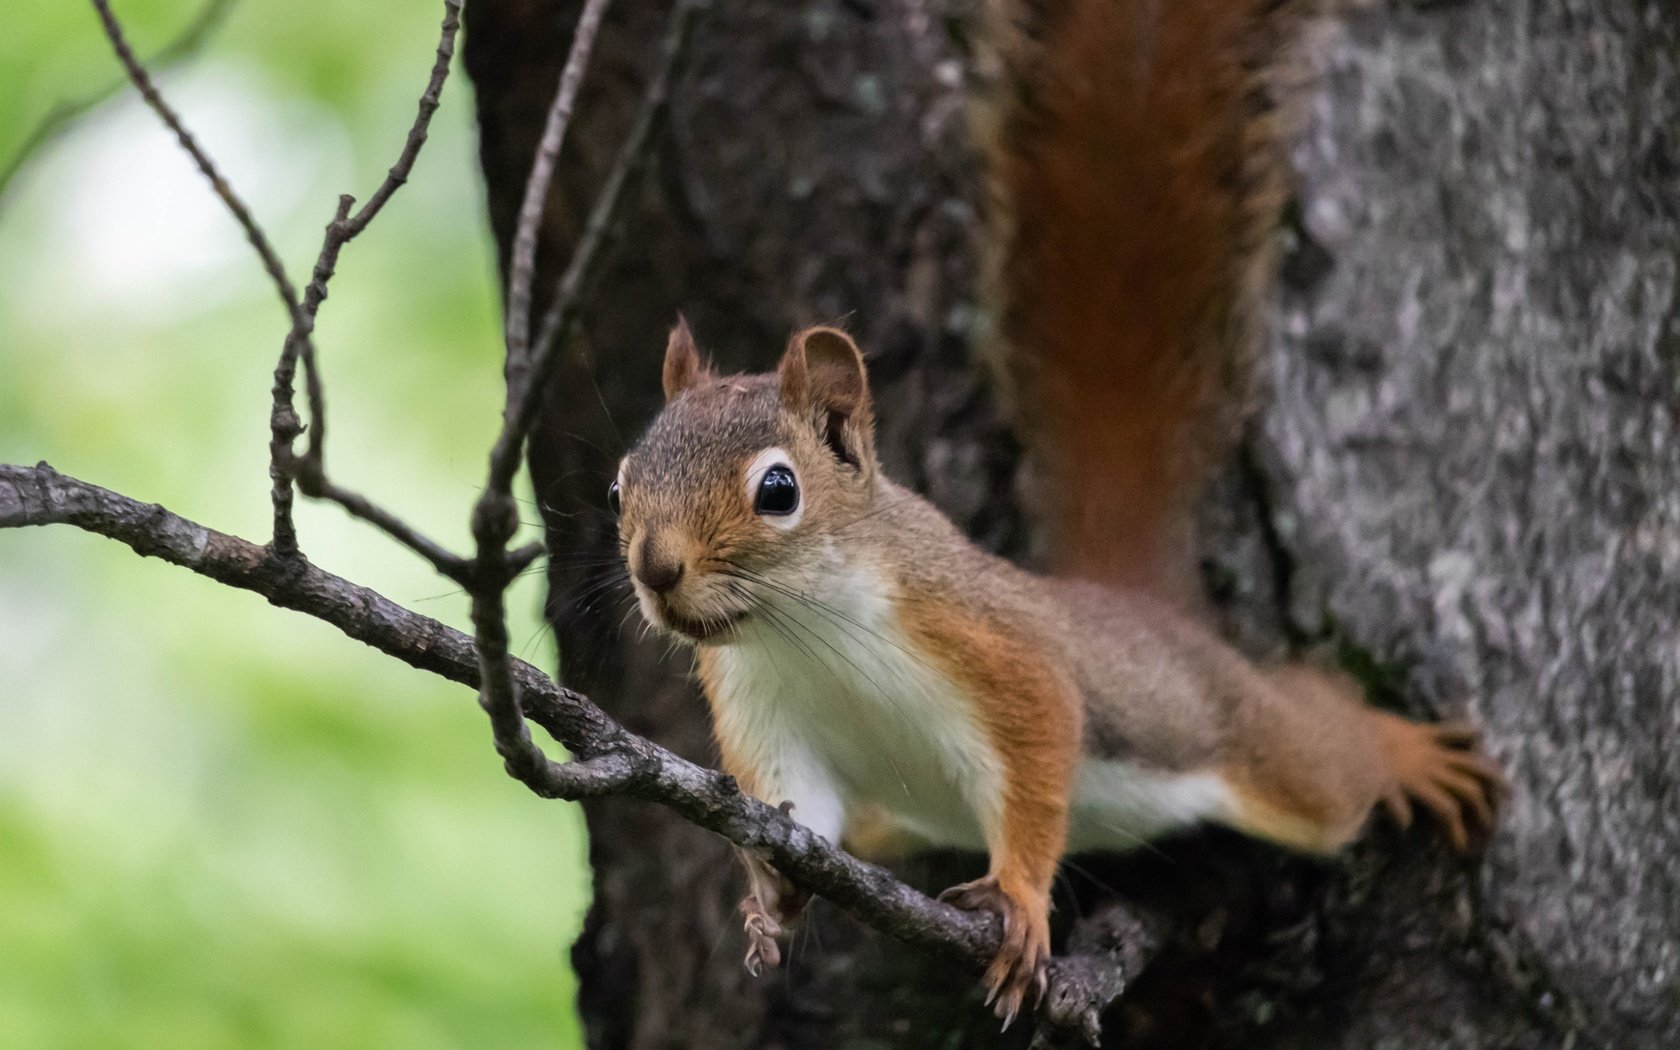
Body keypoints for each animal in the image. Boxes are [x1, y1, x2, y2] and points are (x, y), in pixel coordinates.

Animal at [611, 0, 1505, 1034]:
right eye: (620, 485)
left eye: (779, 491)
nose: (656, 570)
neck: (804, 632)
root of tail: (1129, 602)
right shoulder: (765, 716)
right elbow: (803, 814)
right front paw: (769, 900)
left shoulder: (991, 647)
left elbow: (1041, 753)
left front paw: (1021, 903)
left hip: (1246, 739)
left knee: (1325, 753)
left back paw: (1403, 752)